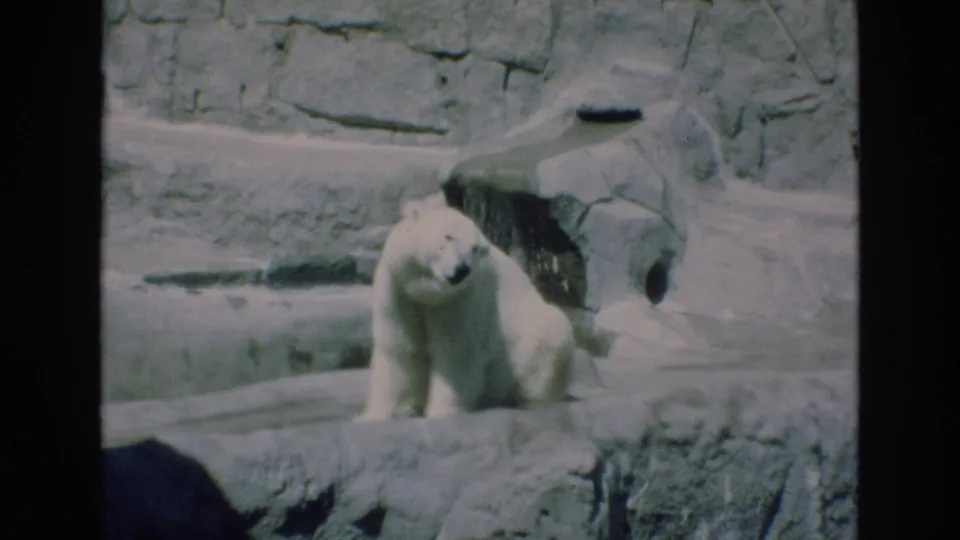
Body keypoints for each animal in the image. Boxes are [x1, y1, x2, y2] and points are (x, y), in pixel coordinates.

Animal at [355, 194, 574, 422]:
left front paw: (442, 411)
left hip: (531, 340)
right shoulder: (398, 292)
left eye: (474, 248)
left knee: (550, 340)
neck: (427, 294)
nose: (462, 269)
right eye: (448, 236)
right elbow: (397, 350)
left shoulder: (460, 301)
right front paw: (373, 415)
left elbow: (456, 351)